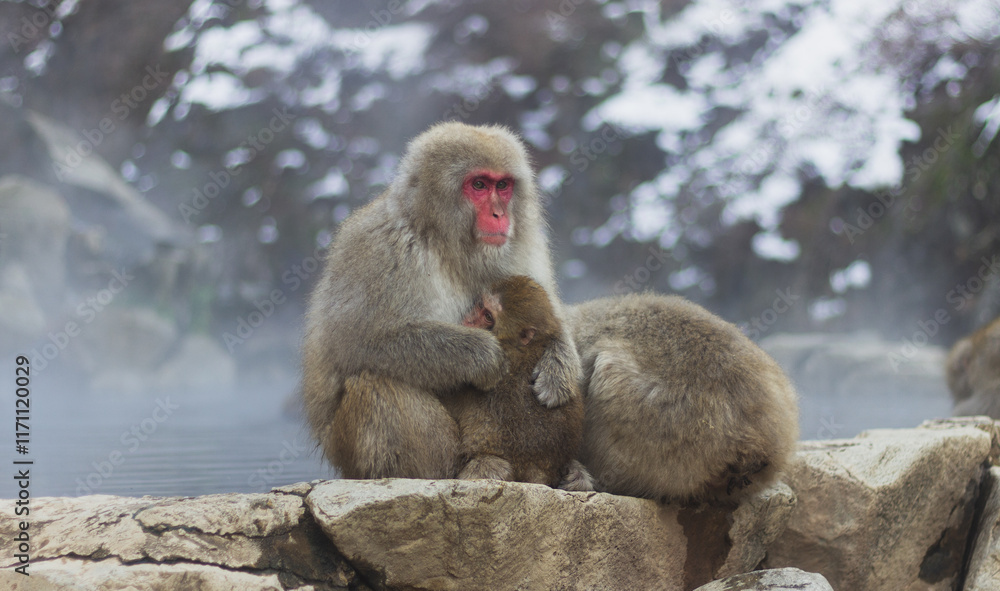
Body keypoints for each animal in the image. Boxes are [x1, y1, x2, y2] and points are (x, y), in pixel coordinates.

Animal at [302, 122, 582, 480]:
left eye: (502, 185)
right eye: (478, 185)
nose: (499, 214)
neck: (445, 242)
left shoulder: (521, 242)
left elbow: (549, 315)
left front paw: (560, 367)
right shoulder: (377, 246)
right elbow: (356, 343)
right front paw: (483, 355)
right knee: (375, 383)